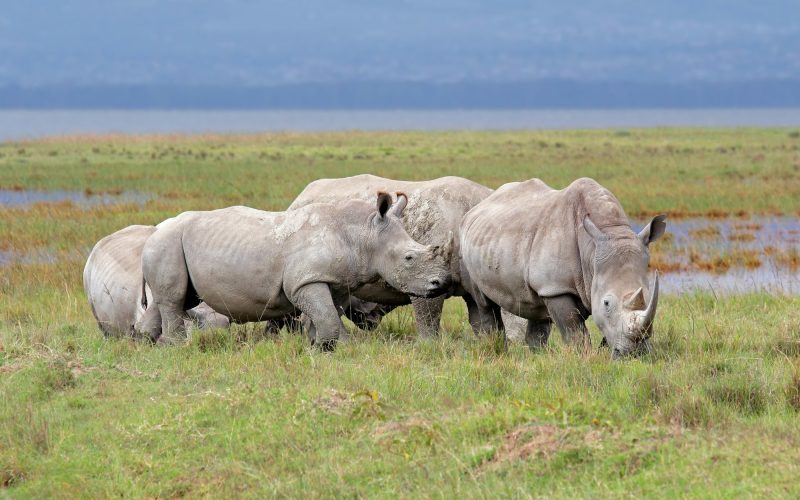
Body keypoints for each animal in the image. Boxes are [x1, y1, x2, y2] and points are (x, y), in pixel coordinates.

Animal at [135, 193, 451, 349]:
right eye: (409, 258)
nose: (440, 283)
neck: (362, 234)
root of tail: (154, 231)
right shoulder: (304, 281)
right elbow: (326, 316)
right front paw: (322, 348)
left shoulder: (332, 280)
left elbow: (327, 314)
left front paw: (333, 347)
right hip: (167, 243)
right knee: (174, 300)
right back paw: (178, 347)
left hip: (170, 244)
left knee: (173, 300)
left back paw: (147, 345)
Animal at [288, 174, 494, 337]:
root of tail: (298, 199)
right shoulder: (425, 279)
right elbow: (429, 320)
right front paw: (430, 346)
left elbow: (482, 322)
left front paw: (488, 343)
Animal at [460, 177, 666, 359]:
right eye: (606, 303)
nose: (636, 353)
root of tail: (479, 206)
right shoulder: (556, 288)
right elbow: (575, 333)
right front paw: (583, 358)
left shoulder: (557, 284)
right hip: (466, 243)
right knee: (484, 302)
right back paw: (496, 351)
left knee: (537, 311)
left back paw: (538, 357)